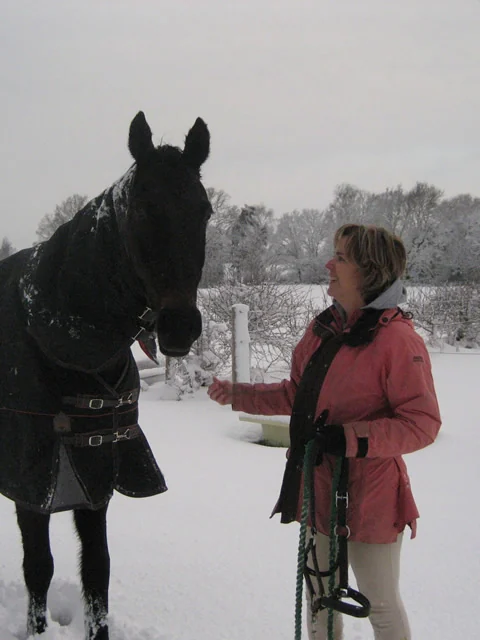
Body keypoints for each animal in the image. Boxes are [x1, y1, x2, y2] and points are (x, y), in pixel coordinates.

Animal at [0, 111, 211, 639]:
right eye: (140, 209)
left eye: (204, 211)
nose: (180, 326)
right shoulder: (31, 479)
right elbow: (38, 568)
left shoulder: (97, 471)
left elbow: (97, 571)